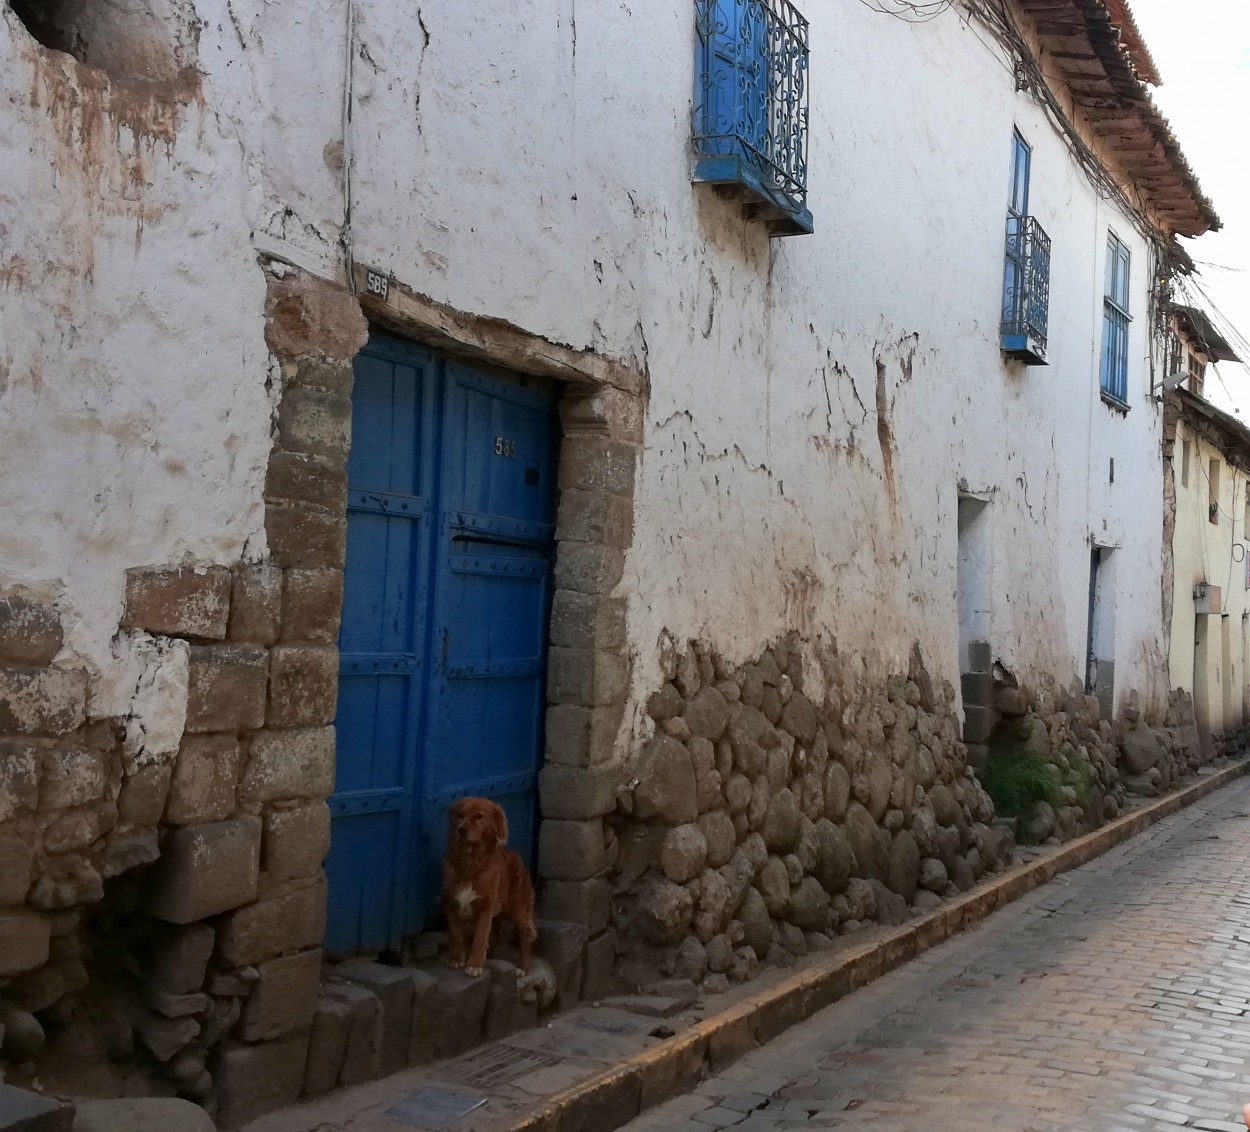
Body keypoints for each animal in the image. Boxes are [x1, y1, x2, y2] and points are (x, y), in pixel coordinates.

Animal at [442, 794, 535, 969]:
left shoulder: (486, 906)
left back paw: (523, 968)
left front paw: (475, 965)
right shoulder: (449, 903)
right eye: (460, 815)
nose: (461, 830)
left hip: (519, 909)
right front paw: (457, 958)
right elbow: (456, 934)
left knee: (526, 935)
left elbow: (480, 936)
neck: (471, 862)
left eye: (479, 816)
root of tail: (517, 857)